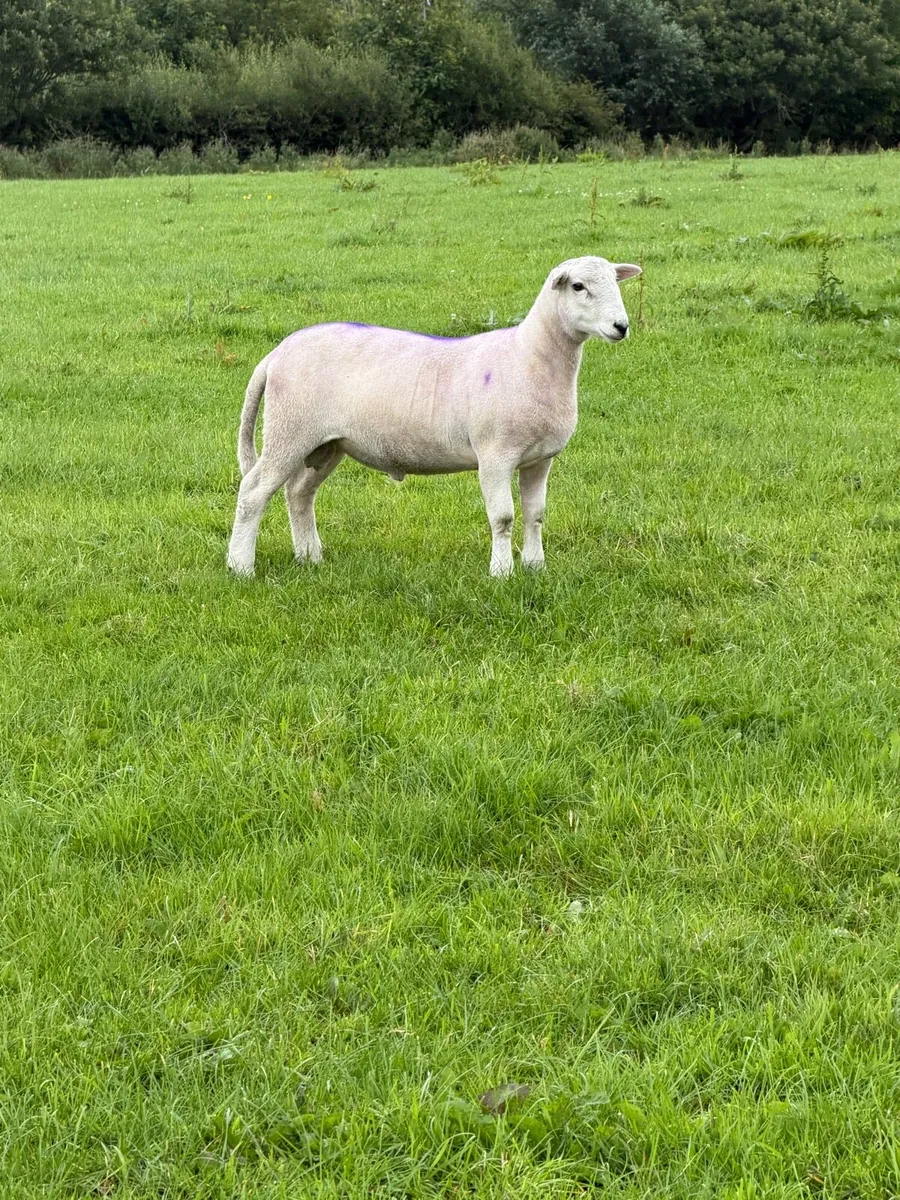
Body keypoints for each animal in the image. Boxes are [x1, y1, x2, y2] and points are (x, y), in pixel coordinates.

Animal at [227, 255, 641, 578]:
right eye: (578, 286)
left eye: (614, 282)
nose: (621, 326)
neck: (529, 357)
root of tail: (275, 355)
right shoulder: (495, 454)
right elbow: (503, 517)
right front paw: (502, 573)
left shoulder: (540, 459)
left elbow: (535, 514)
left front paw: (535, 568)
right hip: (290, 429)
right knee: (253, 493)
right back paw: (241, 566)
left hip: (327, 444)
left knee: (299, 493)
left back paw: (309, 557)